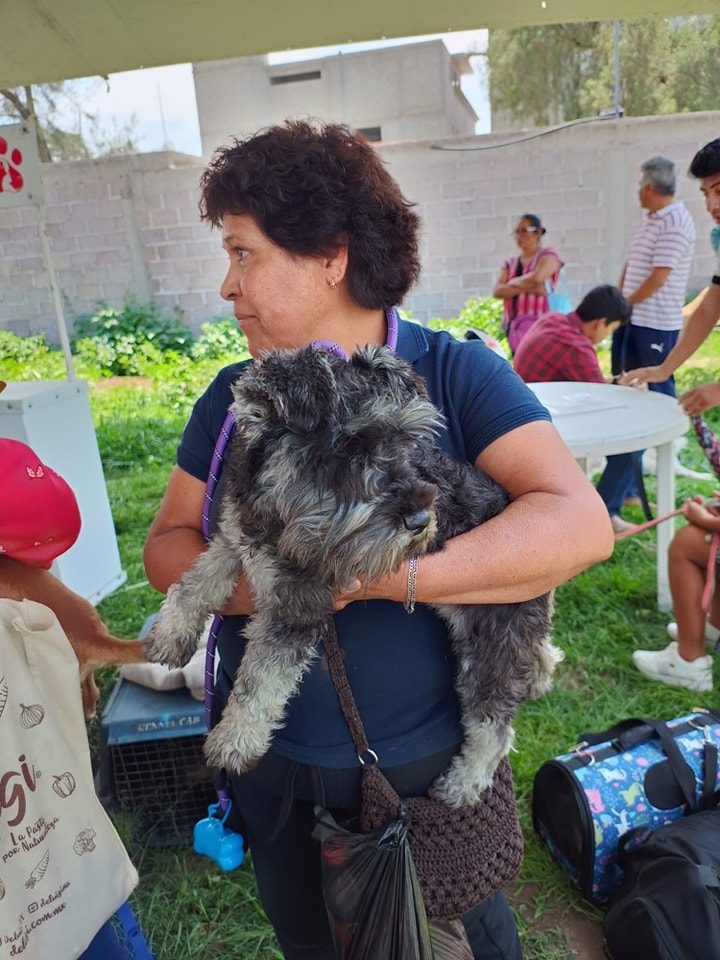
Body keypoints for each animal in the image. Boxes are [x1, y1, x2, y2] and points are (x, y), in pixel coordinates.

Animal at [145, 344, 564, 808]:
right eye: (350, 447)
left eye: (406, 441)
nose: (422, 520)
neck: (276, 512)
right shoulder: (233, 540)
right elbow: (194, 582)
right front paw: (171, 635)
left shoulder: (298, 606)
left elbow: (262, 679)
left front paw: (235, 740)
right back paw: (542, 670)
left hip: (490, 643)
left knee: (493, 725)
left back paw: (462, 783)